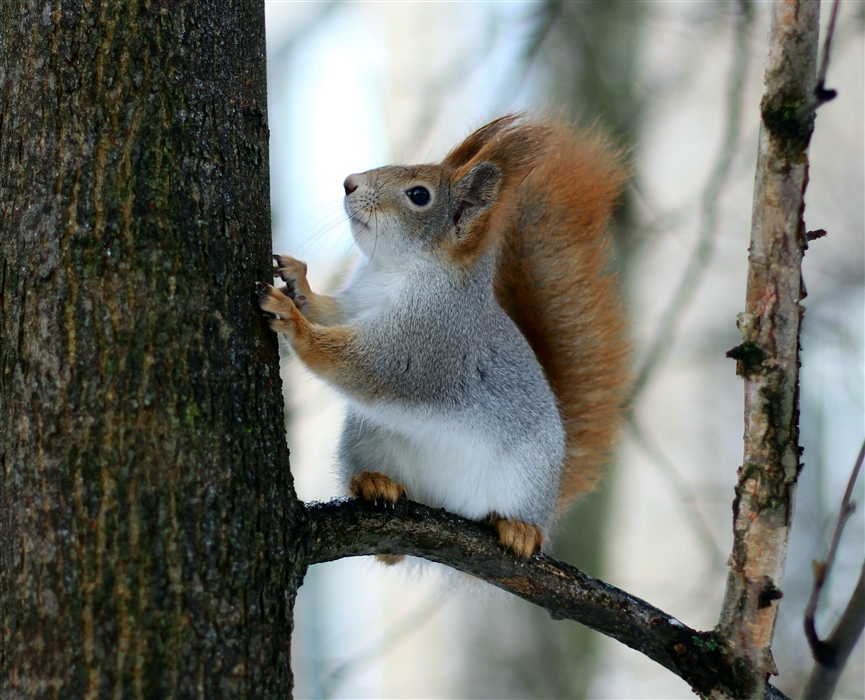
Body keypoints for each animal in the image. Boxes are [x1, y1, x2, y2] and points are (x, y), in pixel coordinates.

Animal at [256, 117, 628, 560]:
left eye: (419, 195)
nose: (349, 183)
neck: (397, 271)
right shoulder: (356, 304)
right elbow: (330, 314)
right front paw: (299, 284)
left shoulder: (430, 339)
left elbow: (363, 364)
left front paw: (292, 321)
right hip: (366, 439)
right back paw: (373, 482)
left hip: (529, 478)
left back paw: (521, 529)